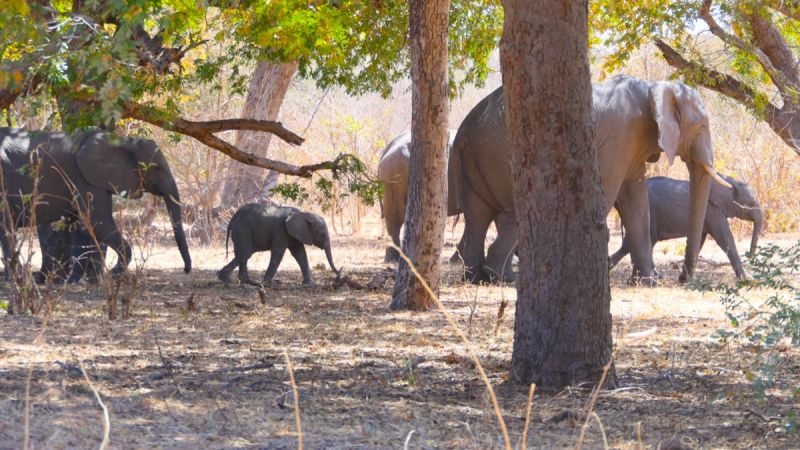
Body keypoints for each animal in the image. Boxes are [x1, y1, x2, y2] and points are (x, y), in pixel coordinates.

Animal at [0, 126, 192, 278]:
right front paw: (114, 274)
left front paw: (76, 279)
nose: (186, 270)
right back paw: (16, 277)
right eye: (156, 168)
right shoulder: (86, 178)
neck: (122, 141)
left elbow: (80, 223)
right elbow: (98, 222)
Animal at [450, 75, 732, 284]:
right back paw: (501, 278)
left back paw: (477, 277)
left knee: (478, 216)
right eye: (702, 126)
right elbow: (608, 196)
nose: (684, 278)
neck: (655, 86)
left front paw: (647, 282)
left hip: (476, 159)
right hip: (504, 154)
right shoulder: (619, 139)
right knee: (511, 215)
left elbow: (636, 202)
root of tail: (464, 132)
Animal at [608, 175, 764, 278]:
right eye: (750, 204)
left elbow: (699, 240)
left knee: (631, 242)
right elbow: (725, 238)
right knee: (641, 241)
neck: (730, 181)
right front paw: (748, 279)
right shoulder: (713, 209)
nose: (748, 254)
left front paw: (684, 279)